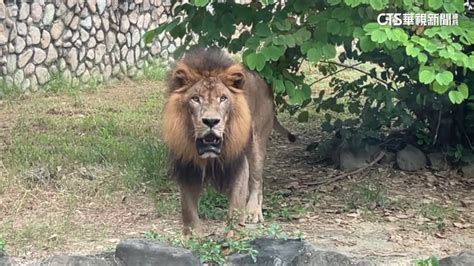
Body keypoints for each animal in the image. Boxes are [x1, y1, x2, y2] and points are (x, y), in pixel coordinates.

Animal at [163, 47, 296, 237]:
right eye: (195, 98)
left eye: (223, 98)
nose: (211, 121)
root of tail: (264, 80)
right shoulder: (187, 166)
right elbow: (188, 208)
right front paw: (192, 236)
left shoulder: (238, 163)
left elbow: (235, 206)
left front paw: (232, 236)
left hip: (257, 142)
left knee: (257, 181)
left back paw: (253, 211)